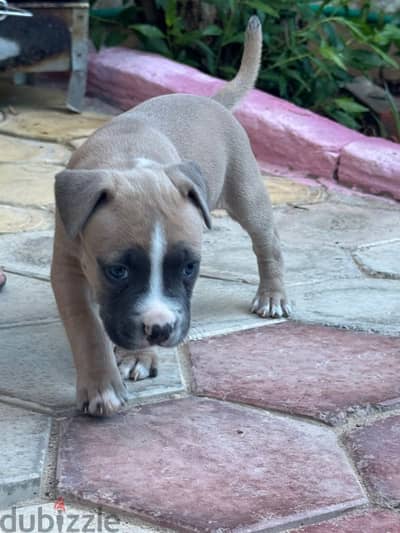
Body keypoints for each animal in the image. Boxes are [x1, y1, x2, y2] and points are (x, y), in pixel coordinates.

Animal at [52, 16, 290, 416]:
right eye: (117, 271)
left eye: (190, 268)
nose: (161, 330)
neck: (128, 162)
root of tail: (211, 100)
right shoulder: (68, 266)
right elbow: (86, 326)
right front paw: (102, 385)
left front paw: (137, 355)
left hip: (247, 195)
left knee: (267, 243)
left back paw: (272, 295)